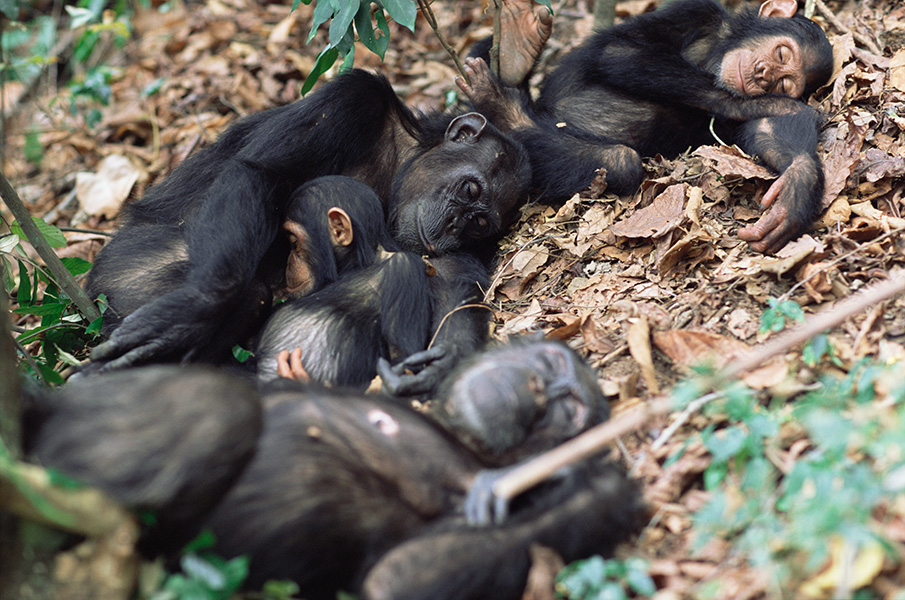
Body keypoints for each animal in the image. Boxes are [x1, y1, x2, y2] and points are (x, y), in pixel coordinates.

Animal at [23, 360, 644, 600]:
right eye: (546, 364)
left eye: (568, 406)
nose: (540, 389)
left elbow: (396, 578)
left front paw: (588, 486)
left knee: (219, 404)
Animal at [85, 70, 528, 376]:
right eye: (470, 191)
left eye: (479, 224)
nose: (454, 224)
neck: (402, 160)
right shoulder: (353, 100)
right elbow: (260, 171)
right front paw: (192, 309)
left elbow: (451, 279)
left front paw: (448, 357)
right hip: (120, 278)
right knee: (249, 288)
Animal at [462, 0, 836, 254]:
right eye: (782, 54)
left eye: (784, 82)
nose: (763, 75)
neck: (718, 51)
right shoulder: (696, 11)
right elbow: (621, 51)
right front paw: (749, 103)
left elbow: (766, 134)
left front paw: (796, 188)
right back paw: (513, 62)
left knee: (621, 161)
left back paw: (507, 102)